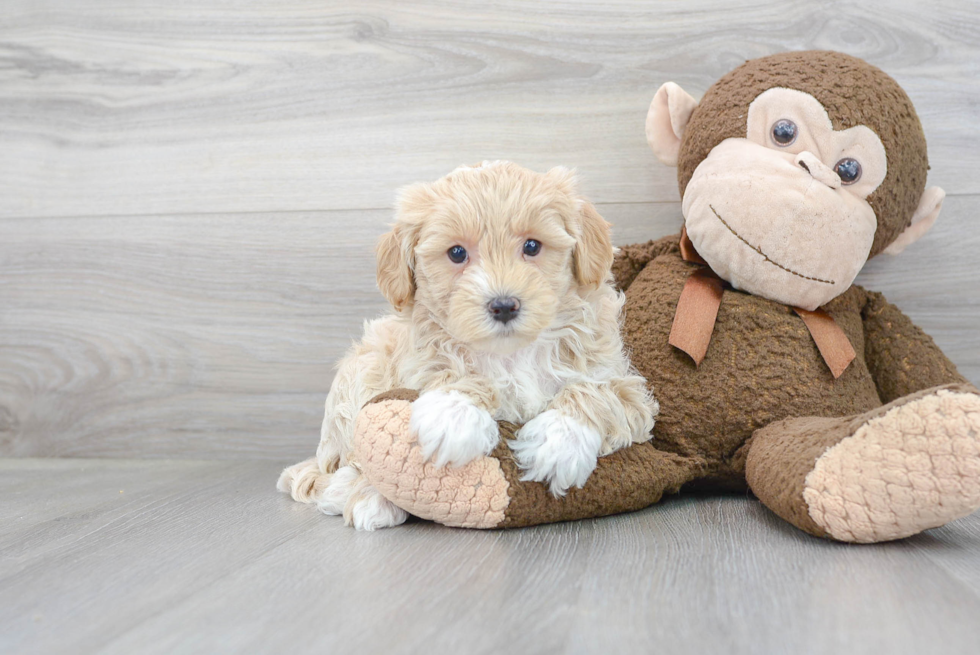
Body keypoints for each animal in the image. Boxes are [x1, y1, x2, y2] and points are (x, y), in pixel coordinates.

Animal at [278, 161, 660, 532]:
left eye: (532, 246)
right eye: (457, 253)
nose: (503, 305)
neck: (511, 354)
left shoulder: (627, 387)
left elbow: (599, 392)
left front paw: (559, 440)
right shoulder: (416, 363)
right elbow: (448, 374)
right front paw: (453, 413)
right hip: (363, 369)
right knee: (346, 459)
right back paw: (366, 495)